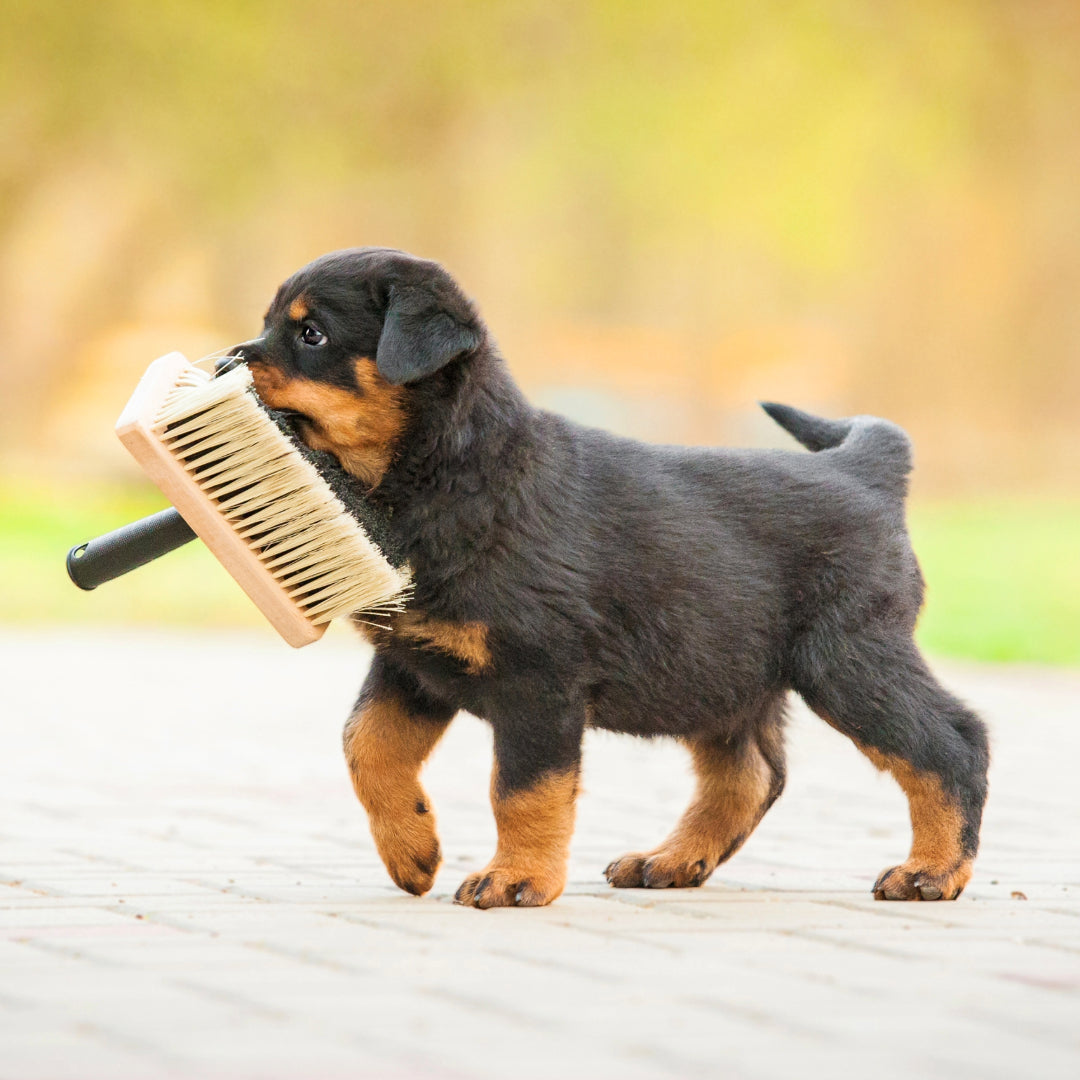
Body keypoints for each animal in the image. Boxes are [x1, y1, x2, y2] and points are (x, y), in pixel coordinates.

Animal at [225, 248, 989, 907]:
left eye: (312, 334)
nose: (230, 358)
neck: (444, 476)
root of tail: (863, 470)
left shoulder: (538, 678)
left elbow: (523, 789)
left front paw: (515, 879)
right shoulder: (415, 662)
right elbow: (366, 747)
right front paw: (412, 852)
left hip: (846, 657)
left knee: (951, 742)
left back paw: (931, 870)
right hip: (720, 671)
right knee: (750, 774)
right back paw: (671, 860)